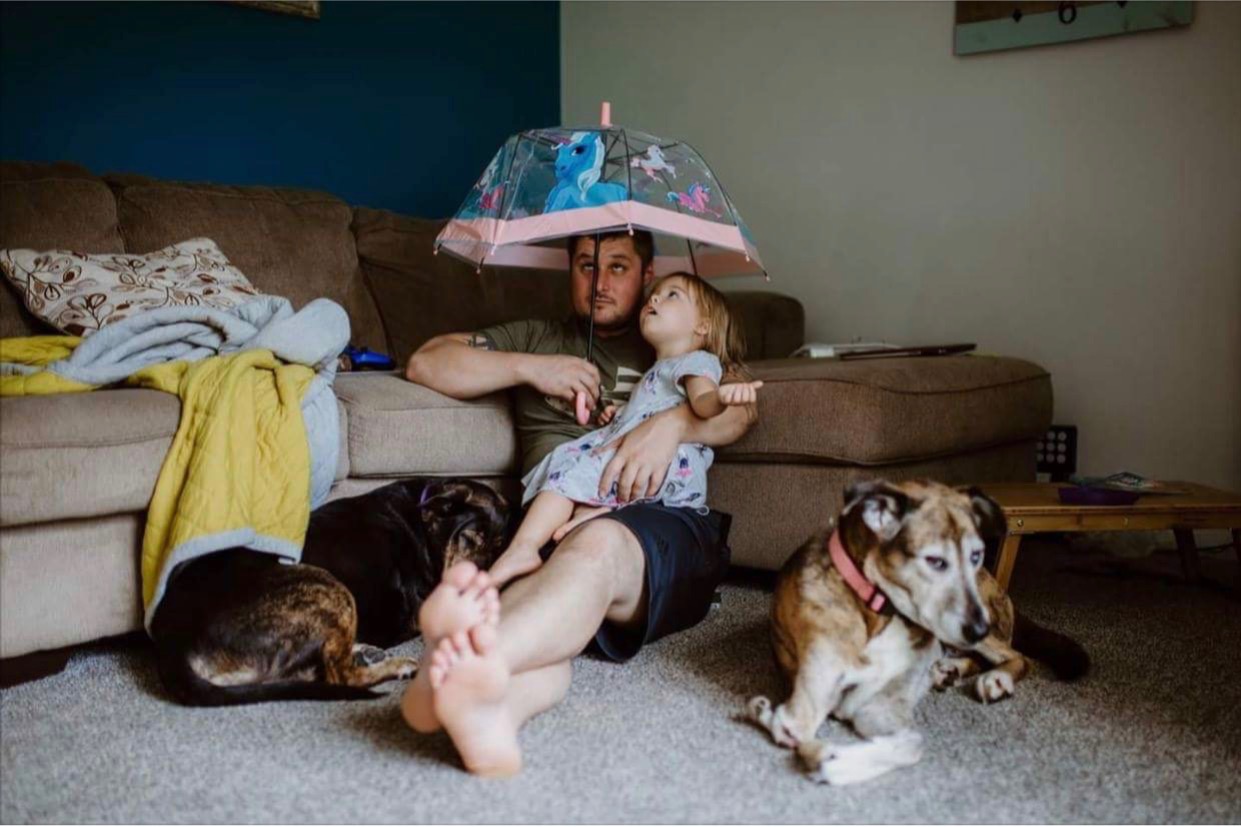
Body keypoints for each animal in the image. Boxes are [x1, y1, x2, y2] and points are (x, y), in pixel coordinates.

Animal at [150, 476, 508, 700]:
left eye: (500, 547)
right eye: (469, 537)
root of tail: (170, 642)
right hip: (327, 587)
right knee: (338, 675)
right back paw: (395, 665)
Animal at [744, 476, 1087, 779]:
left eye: (976, 555)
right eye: (935, 561)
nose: (980, 628)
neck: (879, 610)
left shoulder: (879, 706)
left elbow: (911, 745)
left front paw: (828, 760)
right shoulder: (804, 712)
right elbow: (797, 729)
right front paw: (772, 720)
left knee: (1016, 655)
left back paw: (995, 678)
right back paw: (950, 669)